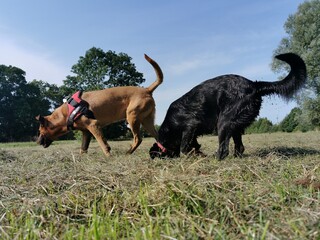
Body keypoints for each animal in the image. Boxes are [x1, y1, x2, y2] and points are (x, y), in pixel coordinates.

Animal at [150, 53, 308, 160]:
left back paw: (217, 159)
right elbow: (193, 145)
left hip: (224, 122)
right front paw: (198, 153)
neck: (170, 124)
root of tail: (254, 85)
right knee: (240, 147)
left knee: (224, 149)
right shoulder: (192, 134)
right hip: (235, 125)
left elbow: (184, 147)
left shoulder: (190, 126)